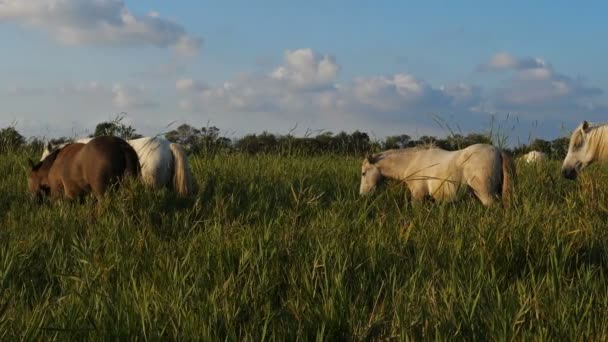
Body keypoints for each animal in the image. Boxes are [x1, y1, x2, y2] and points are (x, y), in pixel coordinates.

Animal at [358, 144, 516, 207]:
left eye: (363, 173)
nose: (362, 195)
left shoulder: (418, 195)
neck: (412, 161)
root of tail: (498, 150)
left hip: (486, 195)